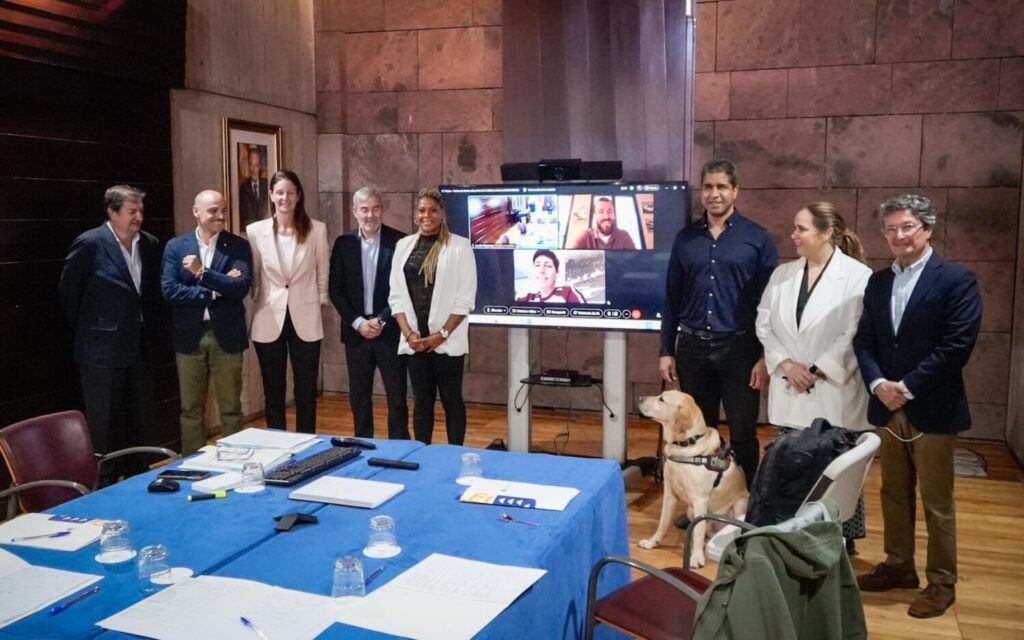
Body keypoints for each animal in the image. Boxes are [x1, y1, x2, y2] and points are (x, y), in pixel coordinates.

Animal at [634, 389, 749, 565]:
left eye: (662, 400)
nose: (639, 398)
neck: (685, 445)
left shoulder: (700, 499)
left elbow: (699, 530)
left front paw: (696, 558)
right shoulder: (670, 494)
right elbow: (663, 522)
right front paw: (653, 541)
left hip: (739, 505)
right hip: (690, 510)